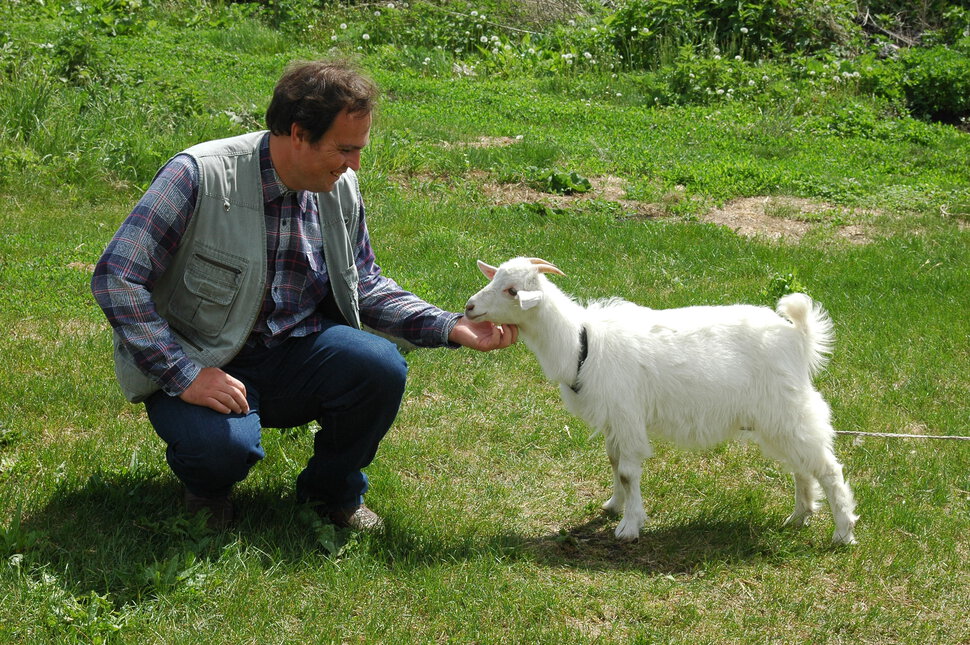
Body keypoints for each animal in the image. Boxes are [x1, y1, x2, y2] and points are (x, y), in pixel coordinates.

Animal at [466, 256, 860, 544]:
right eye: (494, 279)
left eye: (512, 290)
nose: (469, 308)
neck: (581, 342)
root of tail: (798, 336)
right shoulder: (616, 418)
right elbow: (614, 463)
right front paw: (614, 505)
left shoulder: (627, 414)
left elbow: (628, 472)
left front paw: (628, 527)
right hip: (776, 419)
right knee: (801, 467)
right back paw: (799, 516)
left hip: (790, 408)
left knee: (828, 469)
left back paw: (842, 533)